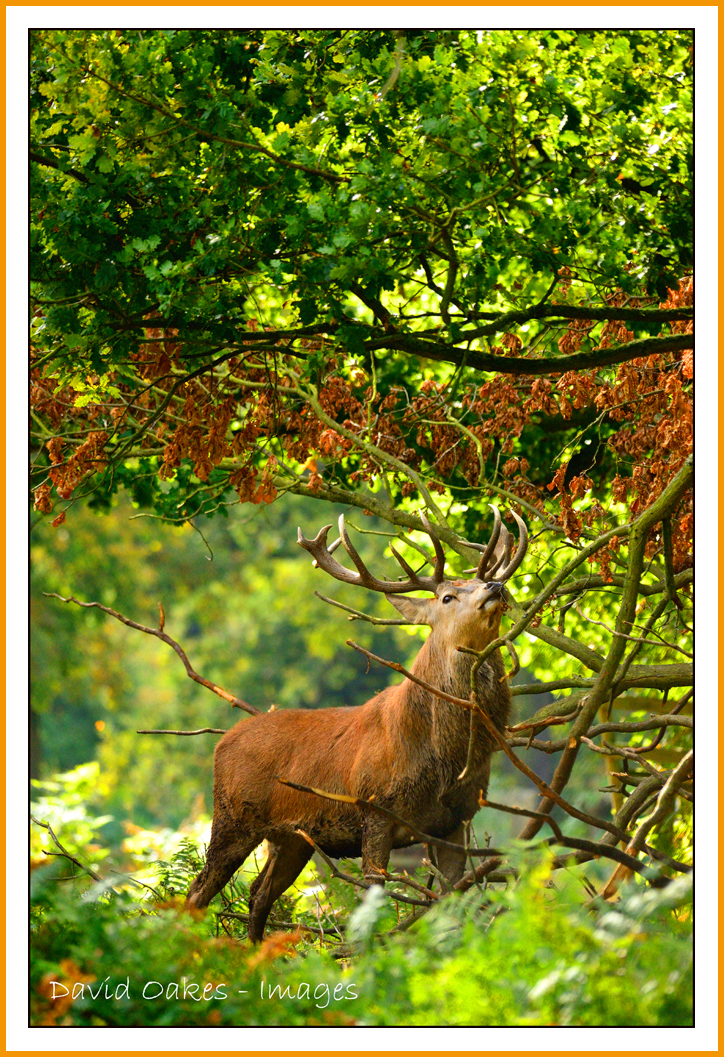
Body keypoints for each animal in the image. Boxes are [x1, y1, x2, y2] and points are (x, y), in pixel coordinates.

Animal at [186, 506, 527, 942]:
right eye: (448, 596)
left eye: (477, 582)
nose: (495, 585)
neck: (443, 759)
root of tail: (221, 743)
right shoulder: (374, 810)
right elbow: (372, 903)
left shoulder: (457, 819)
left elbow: (453, 904)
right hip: (233, 818)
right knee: (198, 892)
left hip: (291, 840)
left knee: (258, 894)